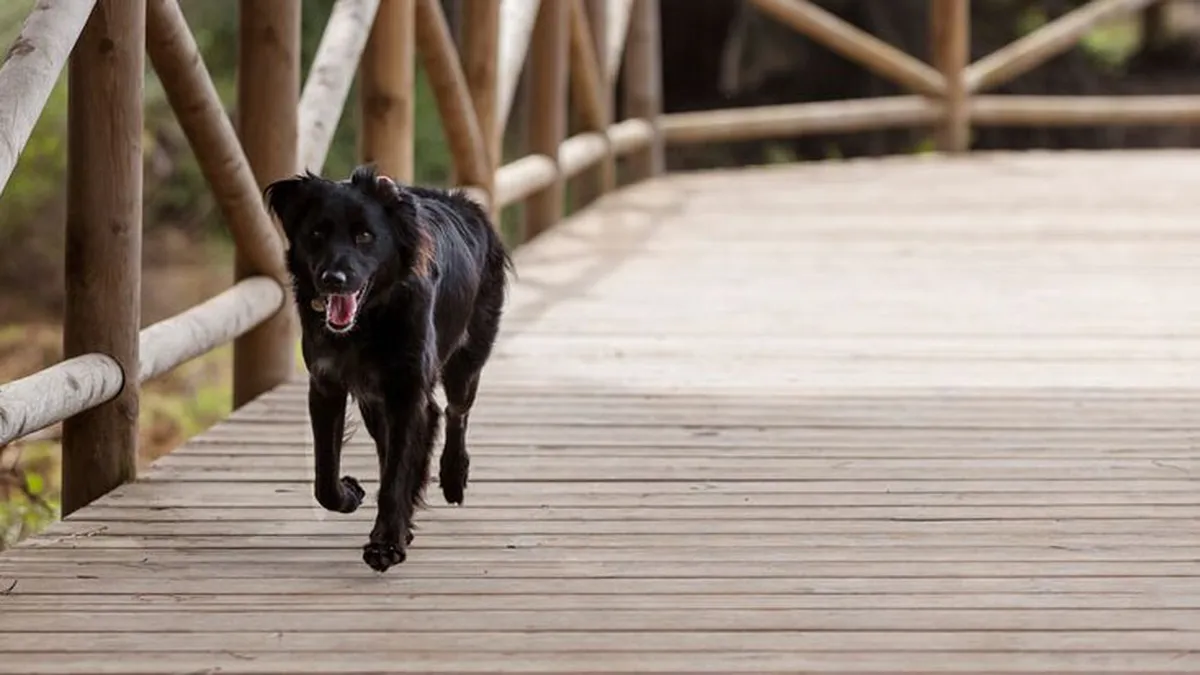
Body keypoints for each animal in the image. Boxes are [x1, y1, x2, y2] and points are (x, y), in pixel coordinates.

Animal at [265, 163, 508, 566]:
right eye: (316, 233)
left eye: (365, 236)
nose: (333, 279)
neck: (370, 320)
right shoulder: (327, 385)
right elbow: (325, 476)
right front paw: (351, 496)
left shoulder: (407, 391)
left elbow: (397, 473)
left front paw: (386, 543)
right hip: (375, 399)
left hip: (466, 361)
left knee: (455, 413)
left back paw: (453, 476)